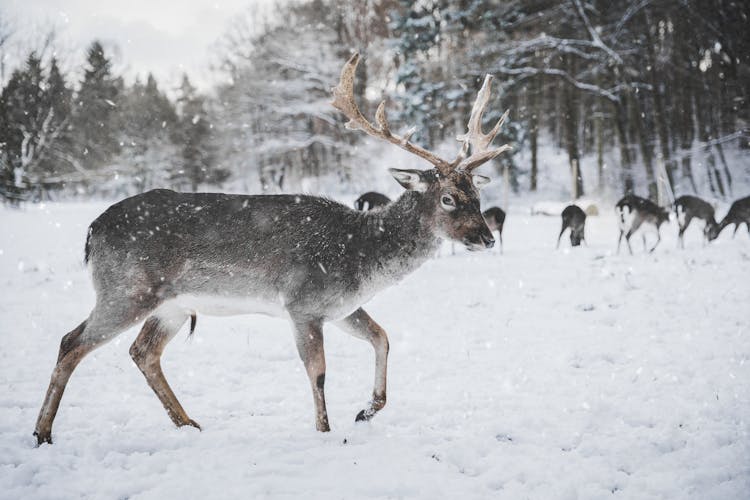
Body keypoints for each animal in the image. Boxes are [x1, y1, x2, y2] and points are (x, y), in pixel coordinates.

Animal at [30, 52, 512, 448]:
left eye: (476, 193)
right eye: (448, 198)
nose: (486, 238)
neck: (361, 257)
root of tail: (92, 230)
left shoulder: (340, 306)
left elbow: (383, 337)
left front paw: (366, 410)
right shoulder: (303, 302)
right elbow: (318, 371)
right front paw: (325, 431)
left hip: (171, 304)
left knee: (142, 352)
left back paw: (189, 424)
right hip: (127, 288)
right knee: (71, 342)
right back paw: (43, 432)